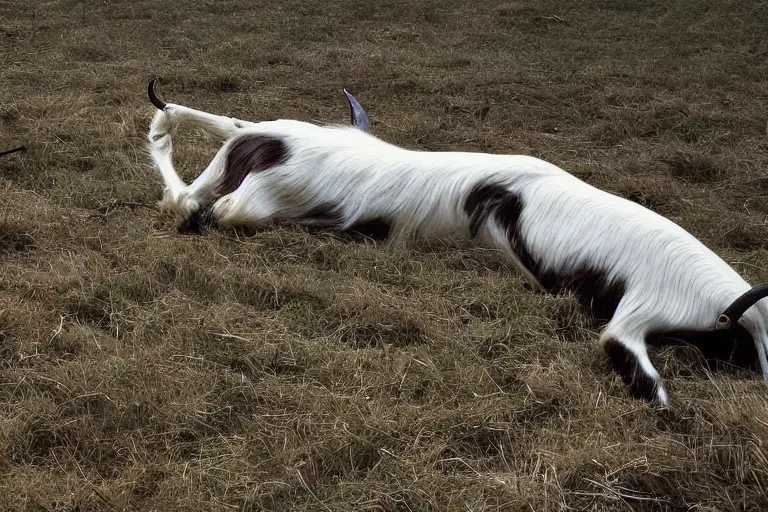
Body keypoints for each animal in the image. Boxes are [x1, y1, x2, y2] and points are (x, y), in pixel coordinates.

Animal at [146, 81, 768, 408]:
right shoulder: (634, 316)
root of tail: (268, 137)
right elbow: (628, 355)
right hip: (253, 196)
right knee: (207, 205)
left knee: (196, 198)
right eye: (740, 346)